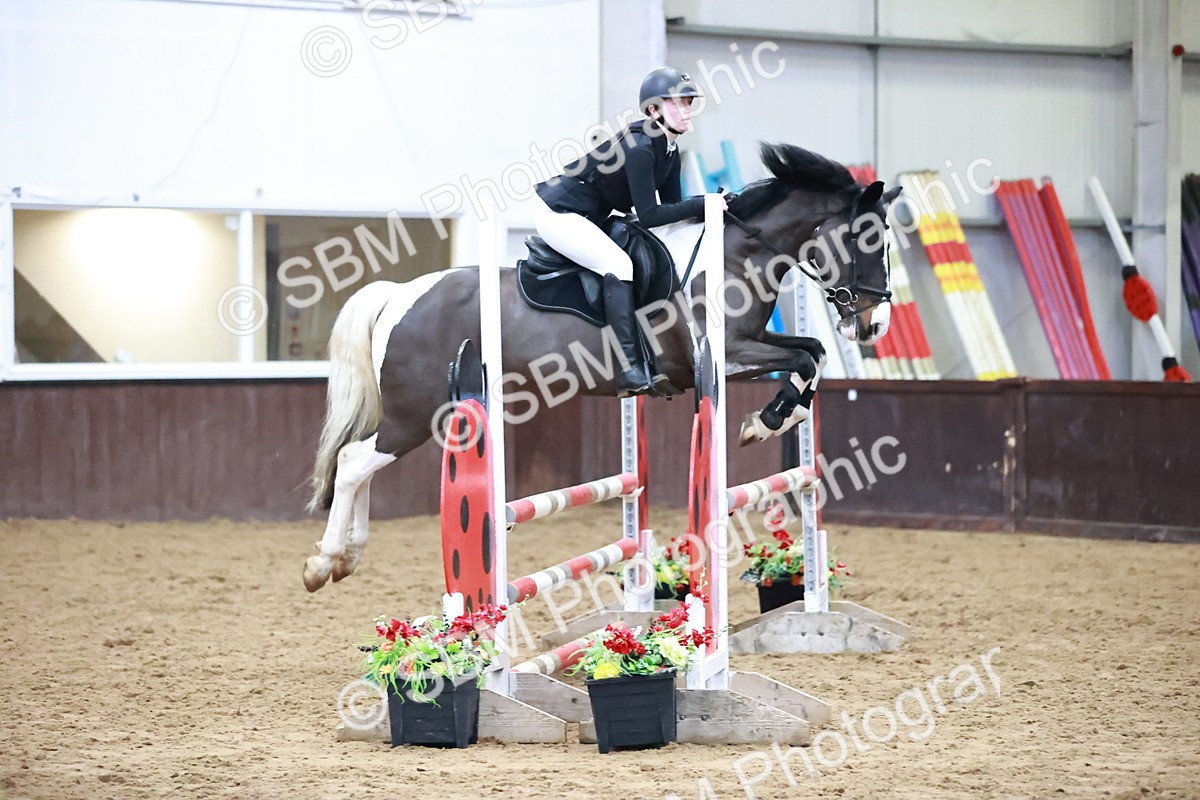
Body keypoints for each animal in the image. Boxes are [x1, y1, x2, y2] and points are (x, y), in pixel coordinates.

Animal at [302, 142, 901, 592]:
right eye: (867, 240)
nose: (874, 326)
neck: (736, 256)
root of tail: (400, 294)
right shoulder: (724, 357)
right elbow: (801, 357)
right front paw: (765, 421)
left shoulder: (752, 342)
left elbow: (811, 353)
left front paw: (772, 419)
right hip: (418, 411)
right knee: (354, 461)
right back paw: (325, 561)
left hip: (418, 412)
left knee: (362, 464)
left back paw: (347, 556)